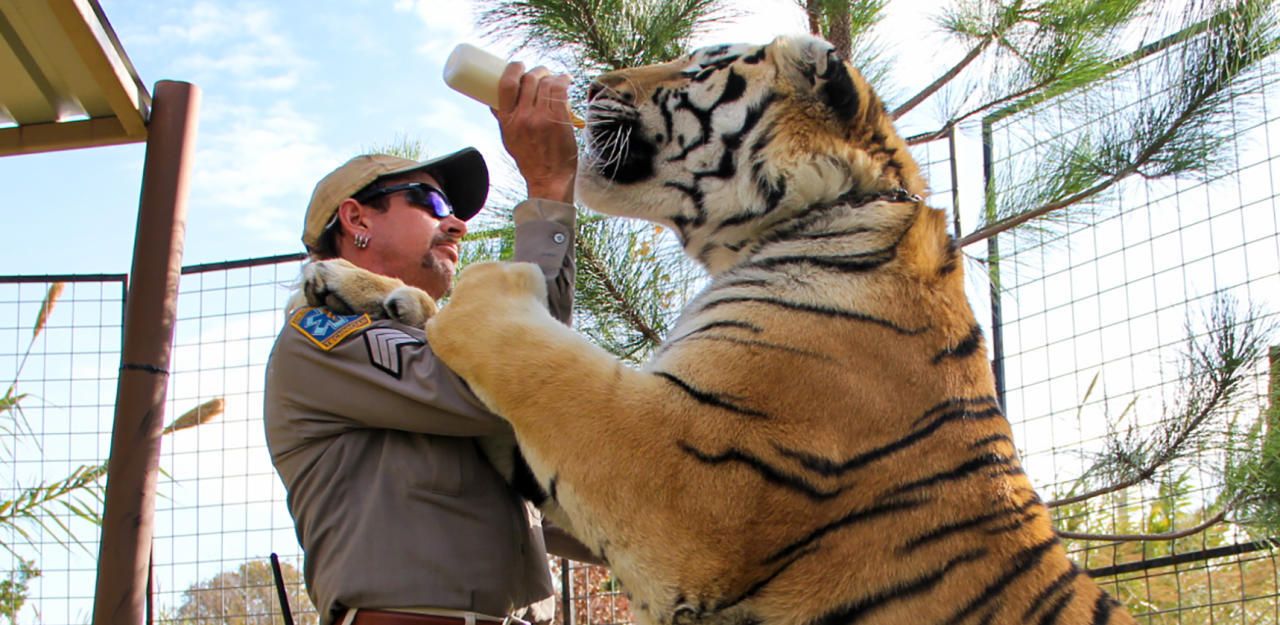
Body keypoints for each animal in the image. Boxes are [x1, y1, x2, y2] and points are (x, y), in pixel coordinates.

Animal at [304, 33, 1136, 625]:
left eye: (697, 66)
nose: (590, 88)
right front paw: (351, 283)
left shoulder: (685, 472)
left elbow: (536, 353)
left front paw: (488, 281)